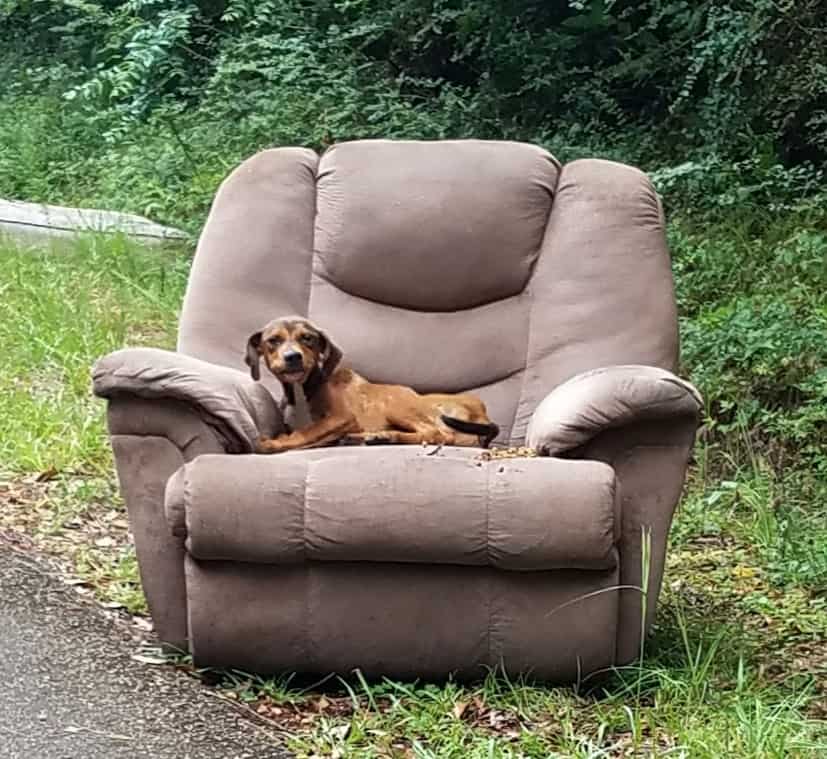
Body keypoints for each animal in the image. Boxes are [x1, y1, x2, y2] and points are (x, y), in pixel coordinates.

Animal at [246, 316, 498, 454]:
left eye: (307, 338)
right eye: (273, 341)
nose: (293, 357)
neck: (303, 389)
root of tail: (482, 413)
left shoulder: (342, 418)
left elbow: (308, 431)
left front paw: (275, 443)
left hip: (394, 404)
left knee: (435, 433)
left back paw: (384, 437)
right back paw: (372, 437)